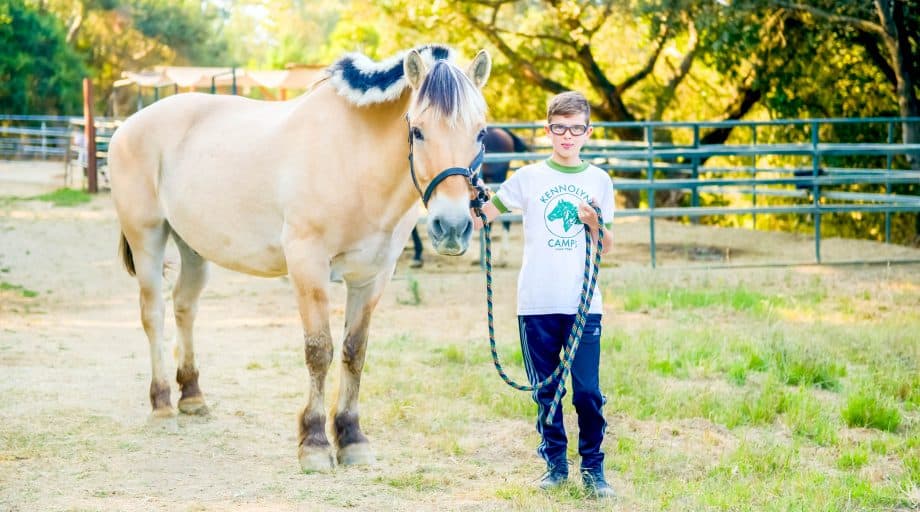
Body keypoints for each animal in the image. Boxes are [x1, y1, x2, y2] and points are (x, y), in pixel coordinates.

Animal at [108, 46, 492, 474]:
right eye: (418, 130)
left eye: (480, 132)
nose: (452, 227)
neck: (354, 157)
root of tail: (127, 126)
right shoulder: (308, 264)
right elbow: (319, 351)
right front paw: (315, 443)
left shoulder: (373, 276)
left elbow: (354, 352)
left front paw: (352, 439)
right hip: (148, 237)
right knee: (153, 314)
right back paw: (161, 405)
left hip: (193, 247)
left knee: (184, 306)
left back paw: (191, 396)